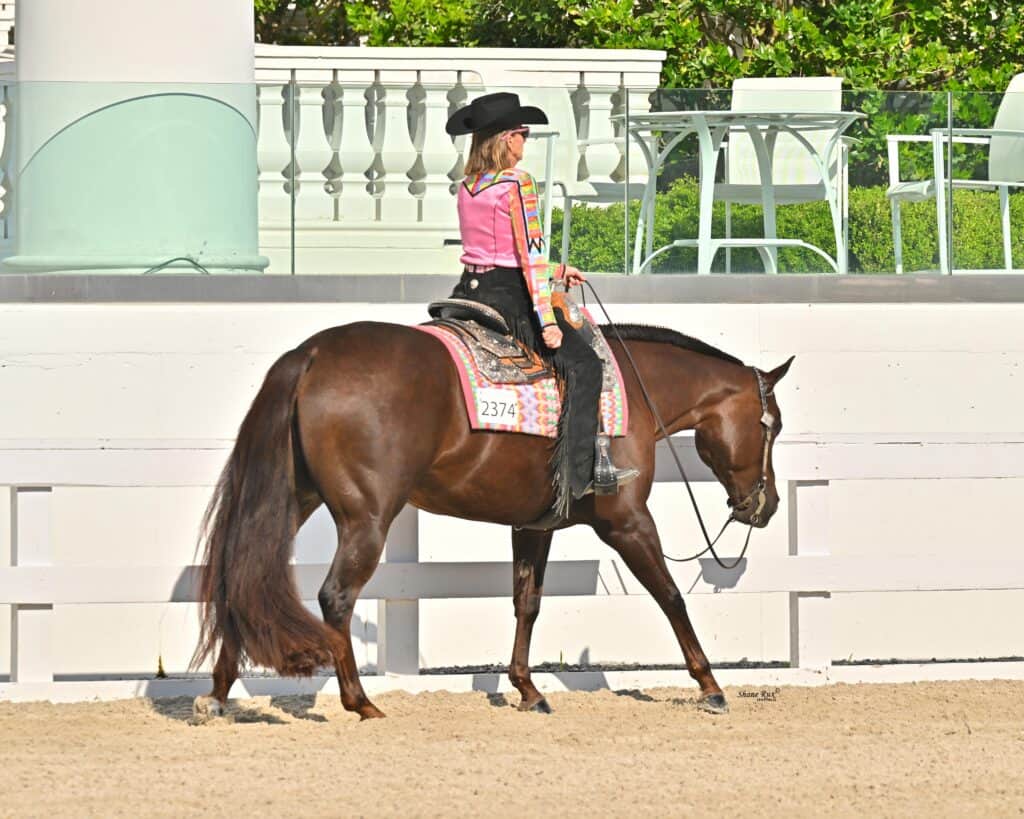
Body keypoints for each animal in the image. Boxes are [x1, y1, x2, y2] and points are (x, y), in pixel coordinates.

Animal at [191, 319, 794, 719]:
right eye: (773, 426)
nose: (765, 507)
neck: (629, 392)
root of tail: (312, 353)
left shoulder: (533, 526)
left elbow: (527, 602)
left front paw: (528, 689)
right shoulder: (627, 522)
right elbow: (670, 595)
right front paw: (710, 685)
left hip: (294, 498)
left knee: (243, 575)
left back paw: (218, 693)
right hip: (366, 517)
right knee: (335, 596)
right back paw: (360, 703)